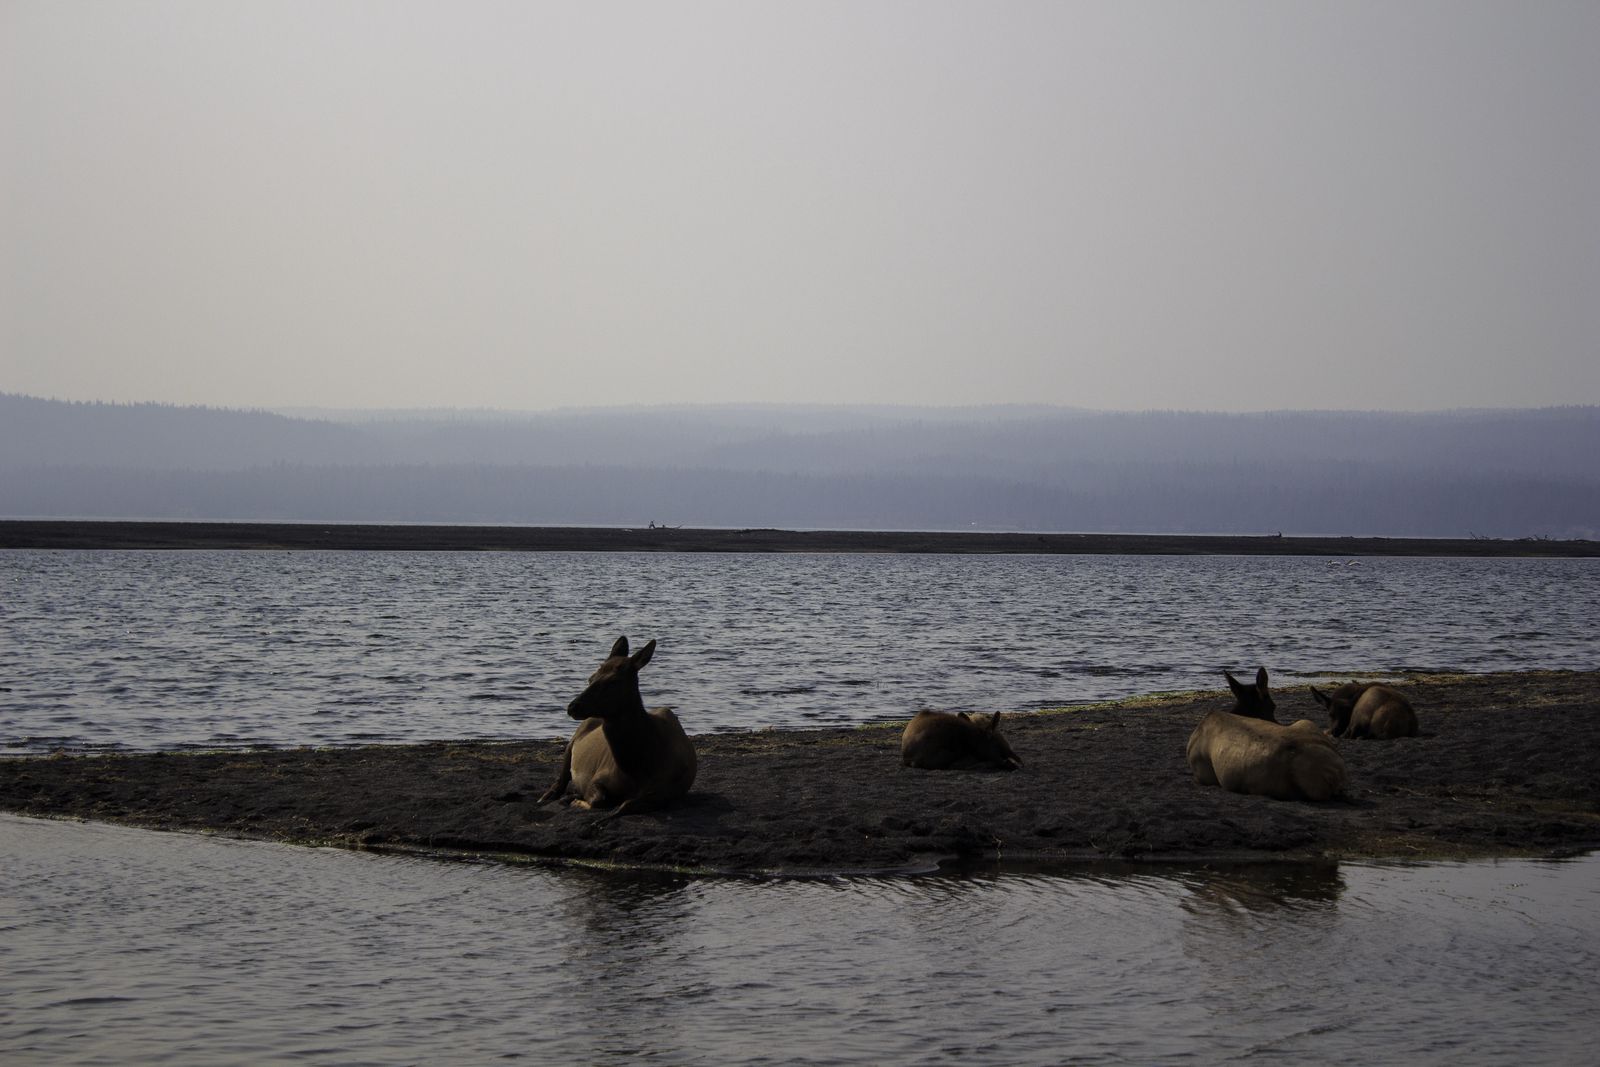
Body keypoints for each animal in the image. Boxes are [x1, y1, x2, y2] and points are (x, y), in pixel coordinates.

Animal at [535, 636, 697, 818]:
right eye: (591, 678)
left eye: (613, 681)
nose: (573, 706)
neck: (640, 769)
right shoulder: (597, 778)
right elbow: (599, 799)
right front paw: (575, 800)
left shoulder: (668, 791)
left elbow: (627, 804)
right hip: (574, 739)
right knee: (561, 777)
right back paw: (548, 796)